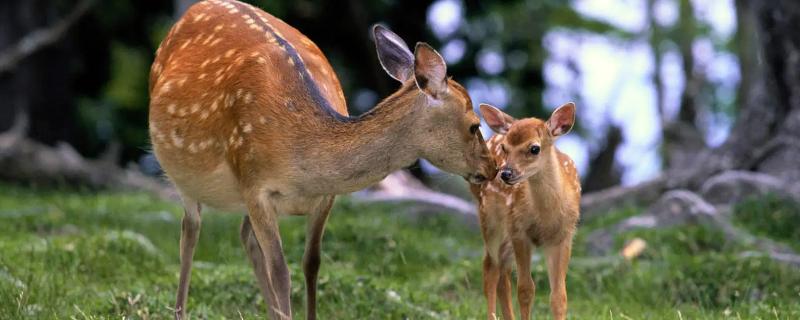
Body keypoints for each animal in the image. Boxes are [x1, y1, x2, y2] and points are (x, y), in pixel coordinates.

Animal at [148, 0, 494, 320]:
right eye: (474, 125)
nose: (491, 168)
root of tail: (194, 9)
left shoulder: (325, 196)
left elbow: (311, 263)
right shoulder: (254, 185)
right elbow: (280, 271)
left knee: (245, 237)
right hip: (184, 174)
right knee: (190, 231)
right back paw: (180, 310)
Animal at [468, 103, 580, 320]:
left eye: (534, 148)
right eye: (505, 148)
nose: (505, 173)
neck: (545, 217)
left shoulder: (563, 236)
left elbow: (559, 297)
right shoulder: (519, 231)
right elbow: (526, 290)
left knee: (502, 274)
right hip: (490, 219)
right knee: (490, 268)